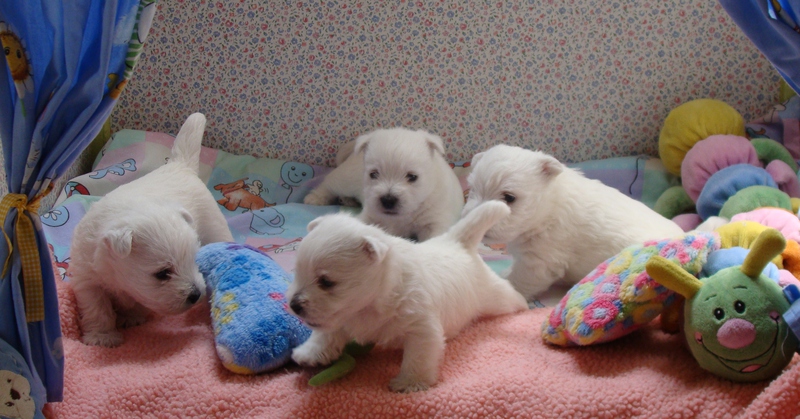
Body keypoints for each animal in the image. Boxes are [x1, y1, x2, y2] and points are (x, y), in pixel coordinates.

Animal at [69, 113, 234, 347]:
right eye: (162, 273)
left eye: (194, 260)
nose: (196, 294)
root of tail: (179, 166)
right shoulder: (87, 278)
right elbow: (96, 307)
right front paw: (102, 337)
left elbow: (136, 302)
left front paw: (132, 317)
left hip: (214, 226)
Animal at [287, 200, 528, 392]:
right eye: (297, 272)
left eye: (326, 282)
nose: (294, 305)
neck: (372, 302)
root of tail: (457, 242)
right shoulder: (339, 318)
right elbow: (325, 335)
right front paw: (309, 354)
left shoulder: (421, 328)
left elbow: (417, 357)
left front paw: (410, 383)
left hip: (494, 297)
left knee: (509, 295)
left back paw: (524, 306)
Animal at [303, 127, 464, 241]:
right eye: (373, 174)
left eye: (412, 177)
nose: (388, 200)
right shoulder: (370, 215)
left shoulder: (436, 221)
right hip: (345, 179)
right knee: (328, 184)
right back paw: (315, 198)